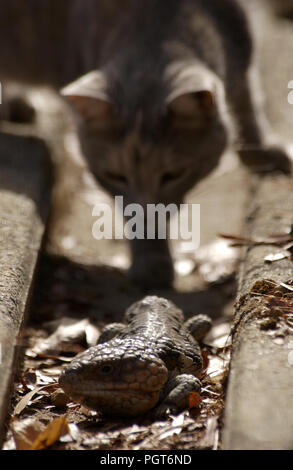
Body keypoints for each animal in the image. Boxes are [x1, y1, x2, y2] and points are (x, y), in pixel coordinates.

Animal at [1, 0, 290, 288]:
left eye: (172, 175)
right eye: (116, 176)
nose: (147, 211)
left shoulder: (241, 42)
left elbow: (247, 100)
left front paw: (267, 152)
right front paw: (152, 261)